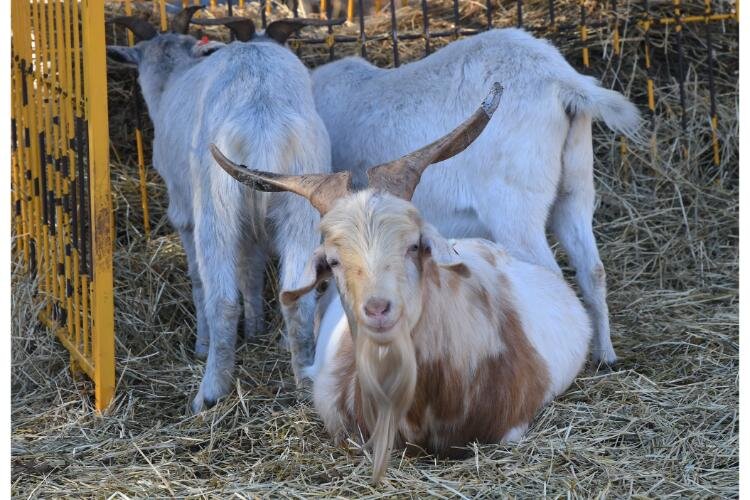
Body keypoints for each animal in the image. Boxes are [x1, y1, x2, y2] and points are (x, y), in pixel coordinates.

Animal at [107, 9, 336, 412]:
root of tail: (263, 116)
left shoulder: (183, 212)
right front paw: (257, 328)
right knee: (298, 295)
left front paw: (202, 344)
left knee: (222, 299)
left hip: (215, 203)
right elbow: (252, 270)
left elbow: (199, 278)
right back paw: (303, 383)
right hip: (301, 201)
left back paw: (209, 391)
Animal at [312, 27, 640, 366]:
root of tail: (560, 80)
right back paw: (605, 355)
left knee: (548, 271)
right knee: (593, 269)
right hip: (576, 185)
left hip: (514, 204)